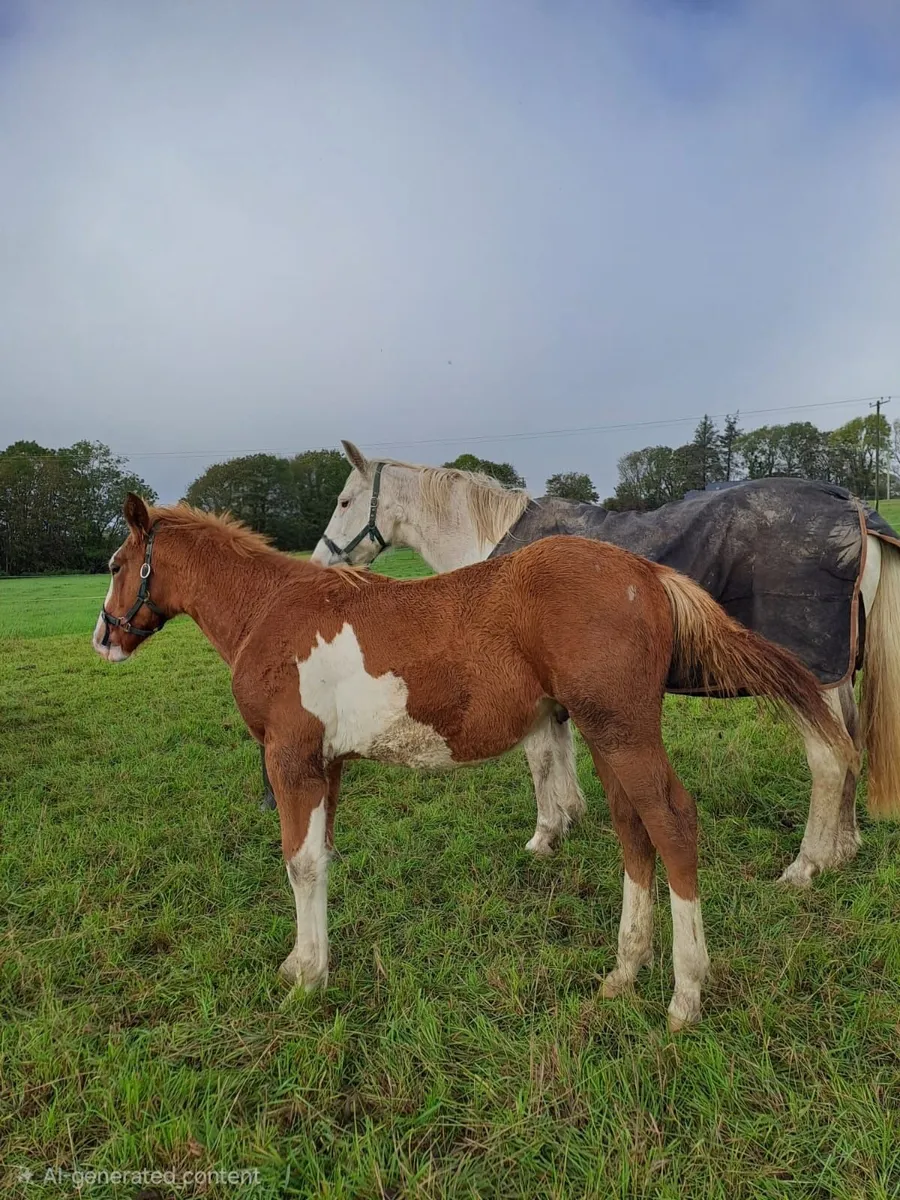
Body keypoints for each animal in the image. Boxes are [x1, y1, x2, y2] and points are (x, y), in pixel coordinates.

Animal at [93, 493, 847, 1029]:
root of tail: (646, 571)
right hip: (609, 735)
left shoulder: (292, 759)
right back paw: (624, 973)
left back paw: (685, 994)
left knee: (672, 823)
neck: (270, 611)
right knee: (634, 831)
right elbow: (322, 856)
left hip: (624, 732)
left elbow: (300, 864)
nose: (104, 638)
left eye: (115, 566)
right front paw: (303, 962)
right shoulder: (327, 766)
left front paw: (307, 980)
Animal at [309, 441, 900, 885]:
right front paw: (569, 818)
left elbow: (539, 759)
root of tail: (852, 507)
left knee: (831, 759)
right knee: (852, 750)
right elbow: (560, 754)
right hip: (837, 679)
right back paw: (844, 847)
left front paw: (544, 835)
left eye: (344, 500)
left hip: (809, 680)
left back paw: (805, 867)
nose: (318, 565)